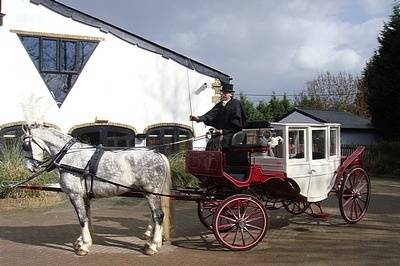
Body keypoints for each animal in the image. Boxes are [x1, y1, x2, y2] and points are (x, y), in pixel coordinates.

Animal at [20, 124, 170, 256]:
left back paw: (152, 246)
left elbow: (82, 219)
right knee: (154, 214)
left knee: (158, 215)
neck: (70, 157)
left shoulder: (75, 195)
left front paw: (84, 246)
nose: (30, 168)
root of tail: (158, 155)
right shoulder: (84, 196)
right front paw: (82, 241)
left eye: (25, 145)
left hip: (151, 193)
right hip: (149, 193)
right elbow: (87, 217)